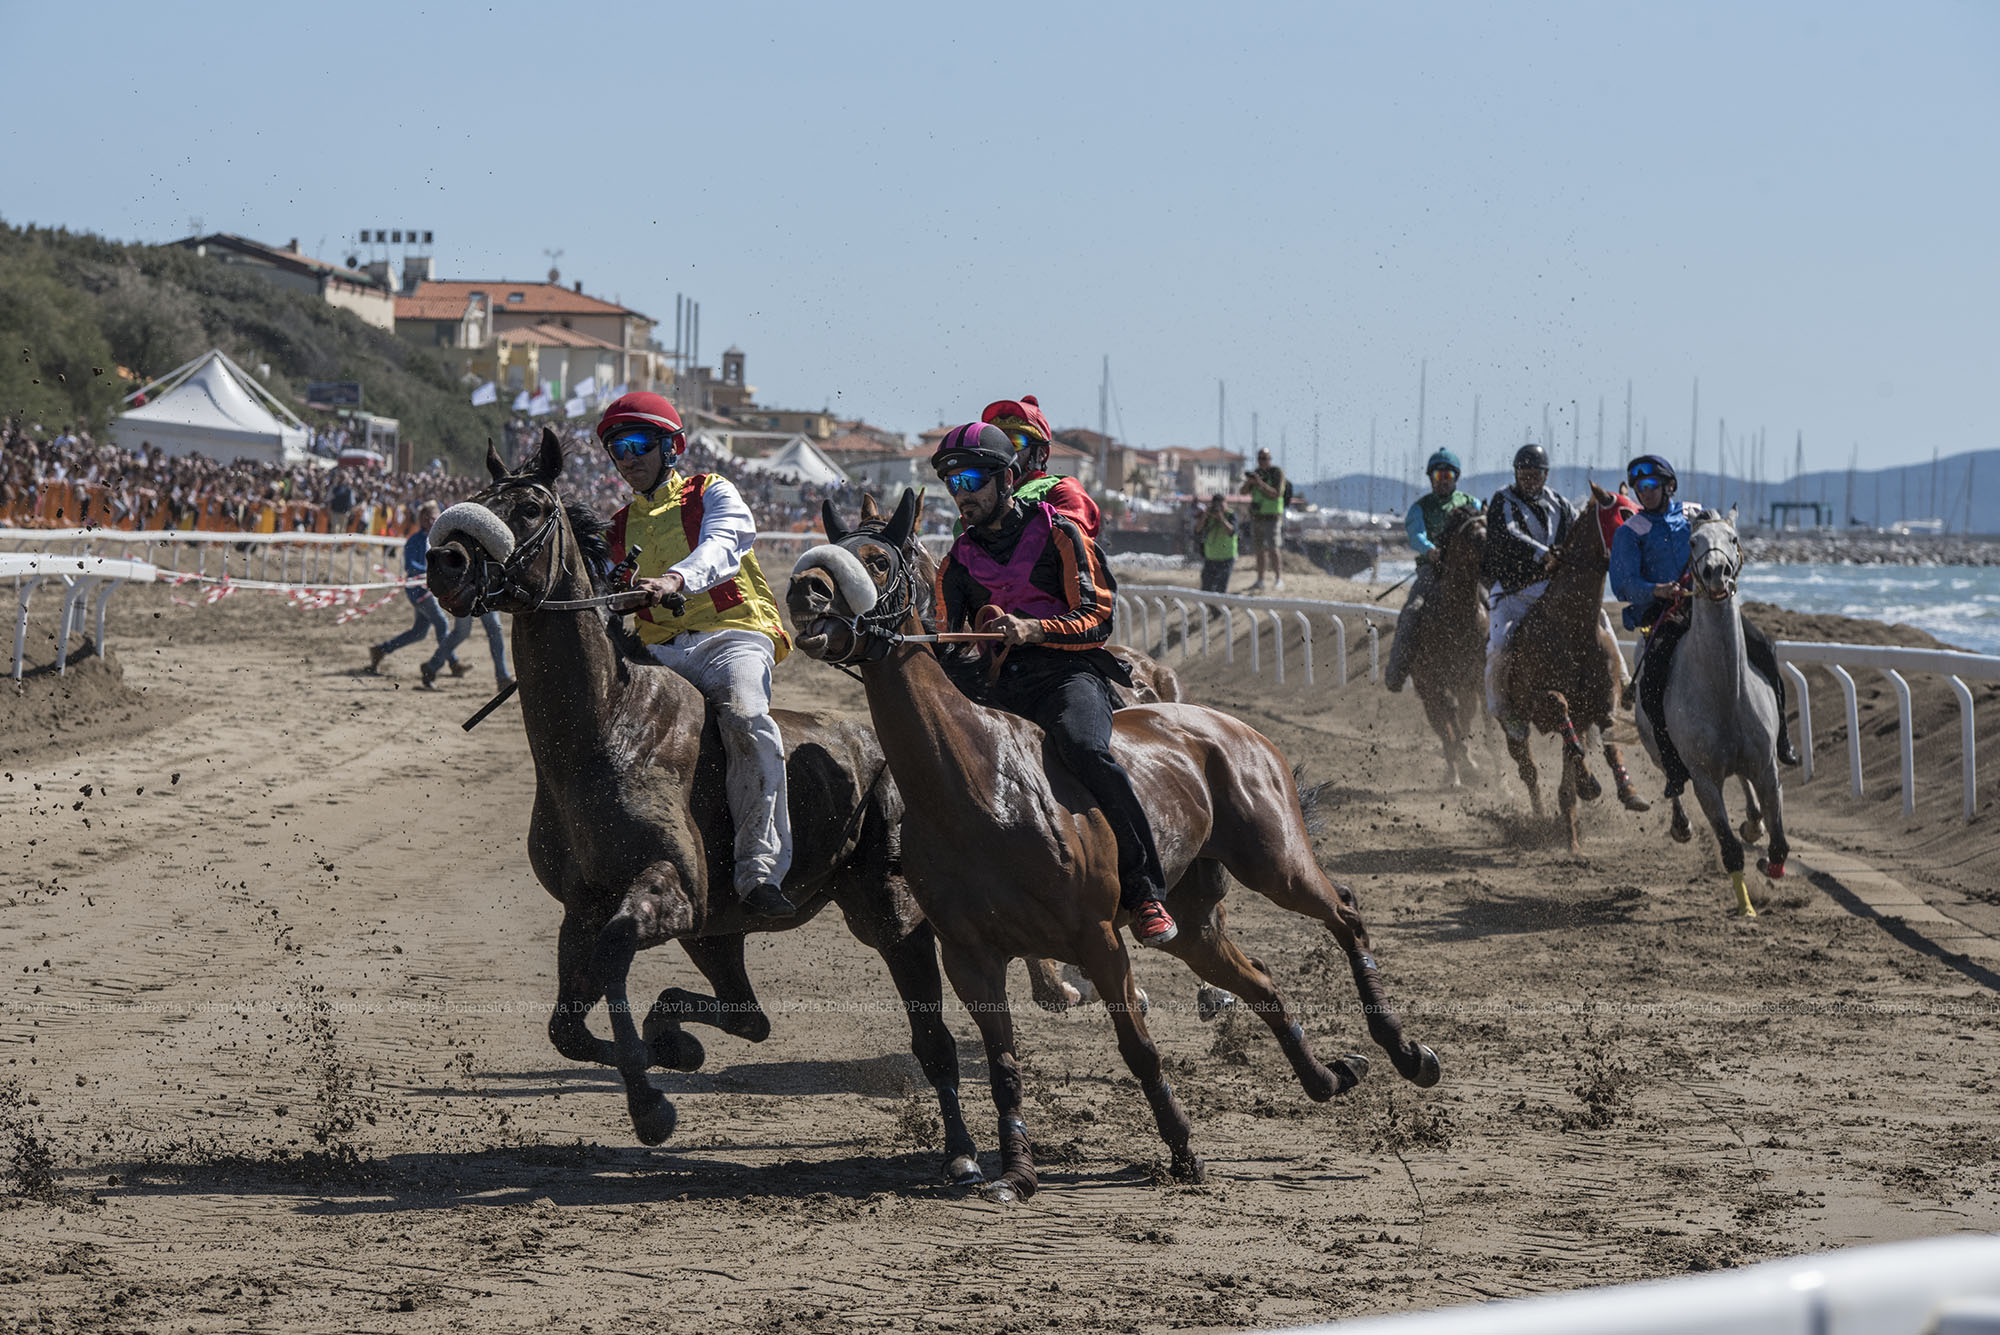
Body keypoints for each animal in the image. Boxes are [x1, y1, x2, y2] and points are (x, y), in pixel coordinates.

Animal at [424, 433, 984, 1183]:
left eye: (533, 505)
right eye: (478, 499)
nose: (445, 561)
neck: (607, 727)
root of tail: (883, 748)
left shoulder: (669, 892)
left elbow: (612, 962)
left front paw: (651, 1105)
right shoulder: (585, 904)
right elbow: (567, 1025)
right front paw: (673, 1051)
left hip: (887, 915)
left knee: (932, 1037)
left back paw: (964, 1153)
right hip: (718, 932)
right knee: (751, 1015)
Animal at [780, 489, 1440, 1199]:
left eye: (876, 559)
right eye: (834, 548)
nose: (802, 588)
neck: (977, 782)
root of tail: (1225, 722)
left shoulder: (1097, 937)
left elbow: (1139, 1049)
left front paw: (1183, 1151)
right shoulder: (969, 955)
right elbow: (1004, 1063)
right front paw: (1015, 1172)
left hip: (1274, 858)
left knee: (1344, 911)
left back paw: (1408, 1052)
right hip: (1192, 917)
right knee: (1260, 980)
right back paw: (1327, 1076)